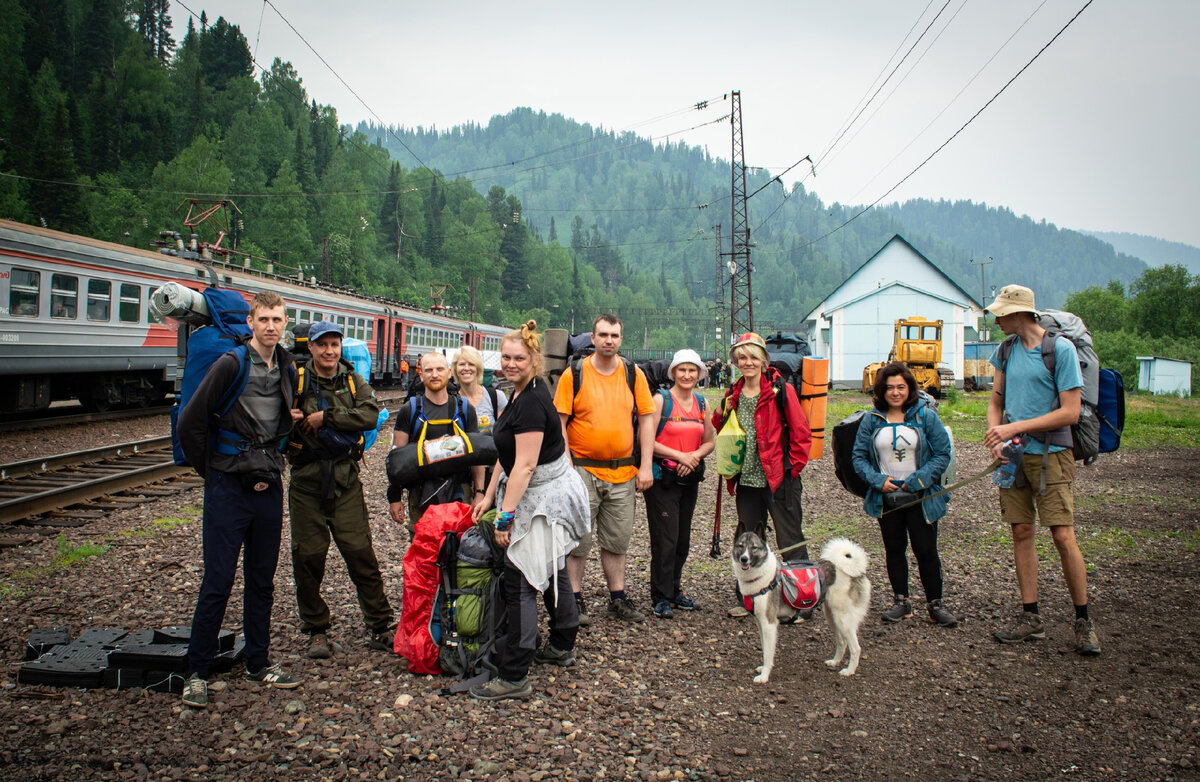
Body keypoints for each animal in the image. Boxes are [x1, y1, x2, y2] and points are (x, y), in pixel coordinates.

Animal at [729, 534, 873, 681]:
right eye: (740, 546)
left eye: (754, 547)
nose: (744, 558)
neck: (761, 576)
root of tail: (853, 571)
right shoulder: (760, 623)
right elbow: (764, 649)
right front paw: (763, 669)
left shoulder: (769, 624)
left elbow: (768, 653)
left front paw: (764, 676)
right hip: (832, 616)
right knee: (842, 641)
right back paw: (835, 662)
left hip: (844, 619)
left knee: (856, 648)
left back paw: (849, 670)